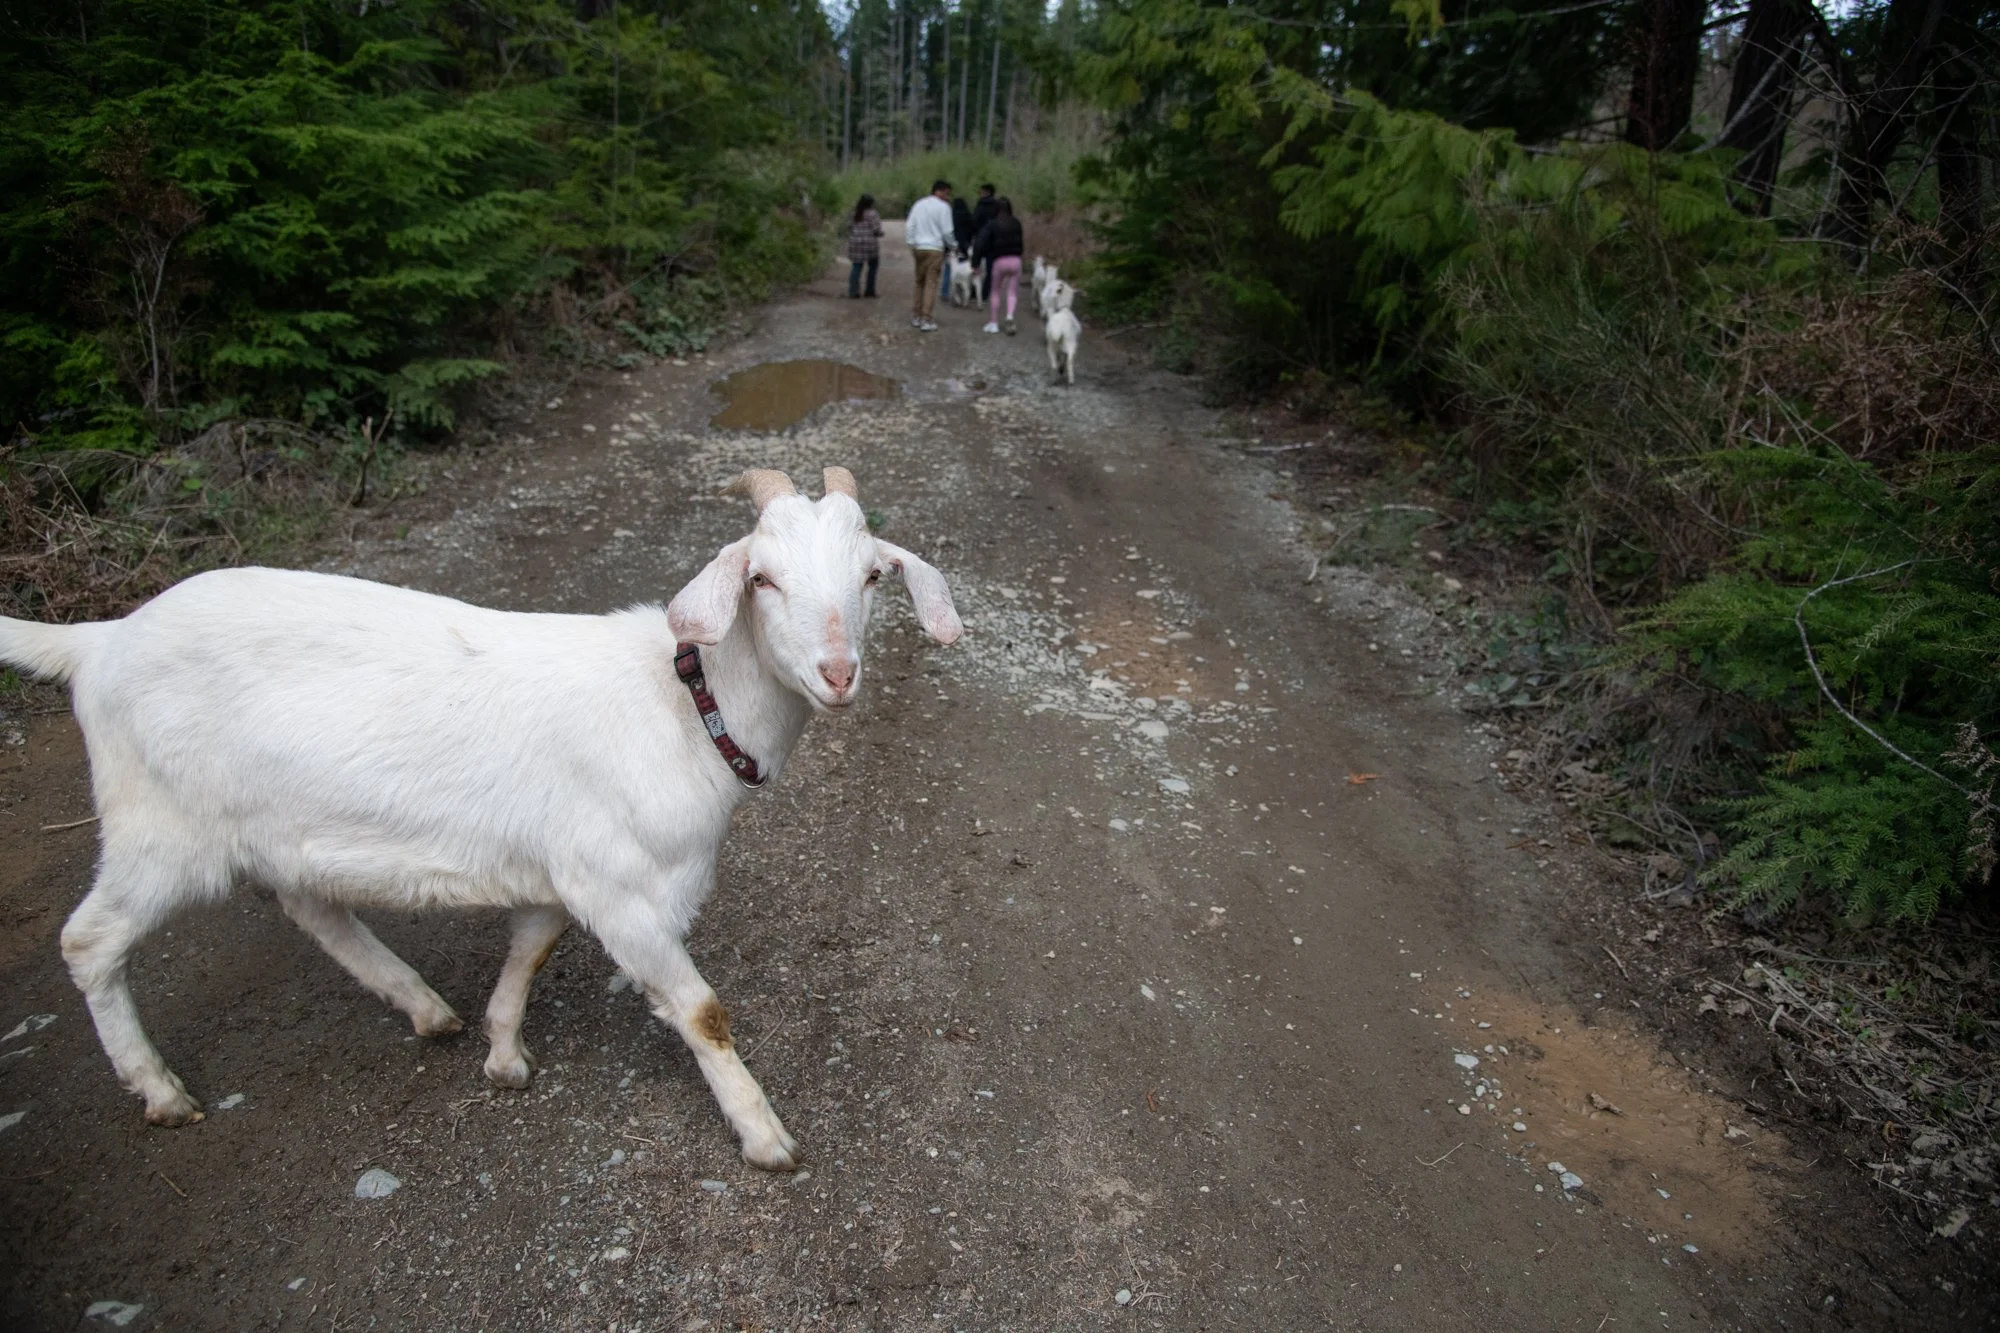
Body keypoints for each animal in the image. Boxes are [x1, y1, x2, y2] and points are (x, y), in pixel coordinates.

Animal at [0, 467, 961, 1171]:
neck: (687, 707)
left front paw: (501, 1053)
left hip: (267, 824)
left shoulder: (563, 868)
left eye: (872, 575)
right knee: (91, 940)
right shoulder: (625, 894)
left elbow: (528, 948)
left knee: (309, 904)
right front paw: (765, 1137)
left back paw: (424, 1006)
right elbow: (701, 1011)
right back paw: (159, 1089)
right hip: (159, 826)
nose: (838, 673)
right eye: (761, 577)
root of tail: (99, 640)